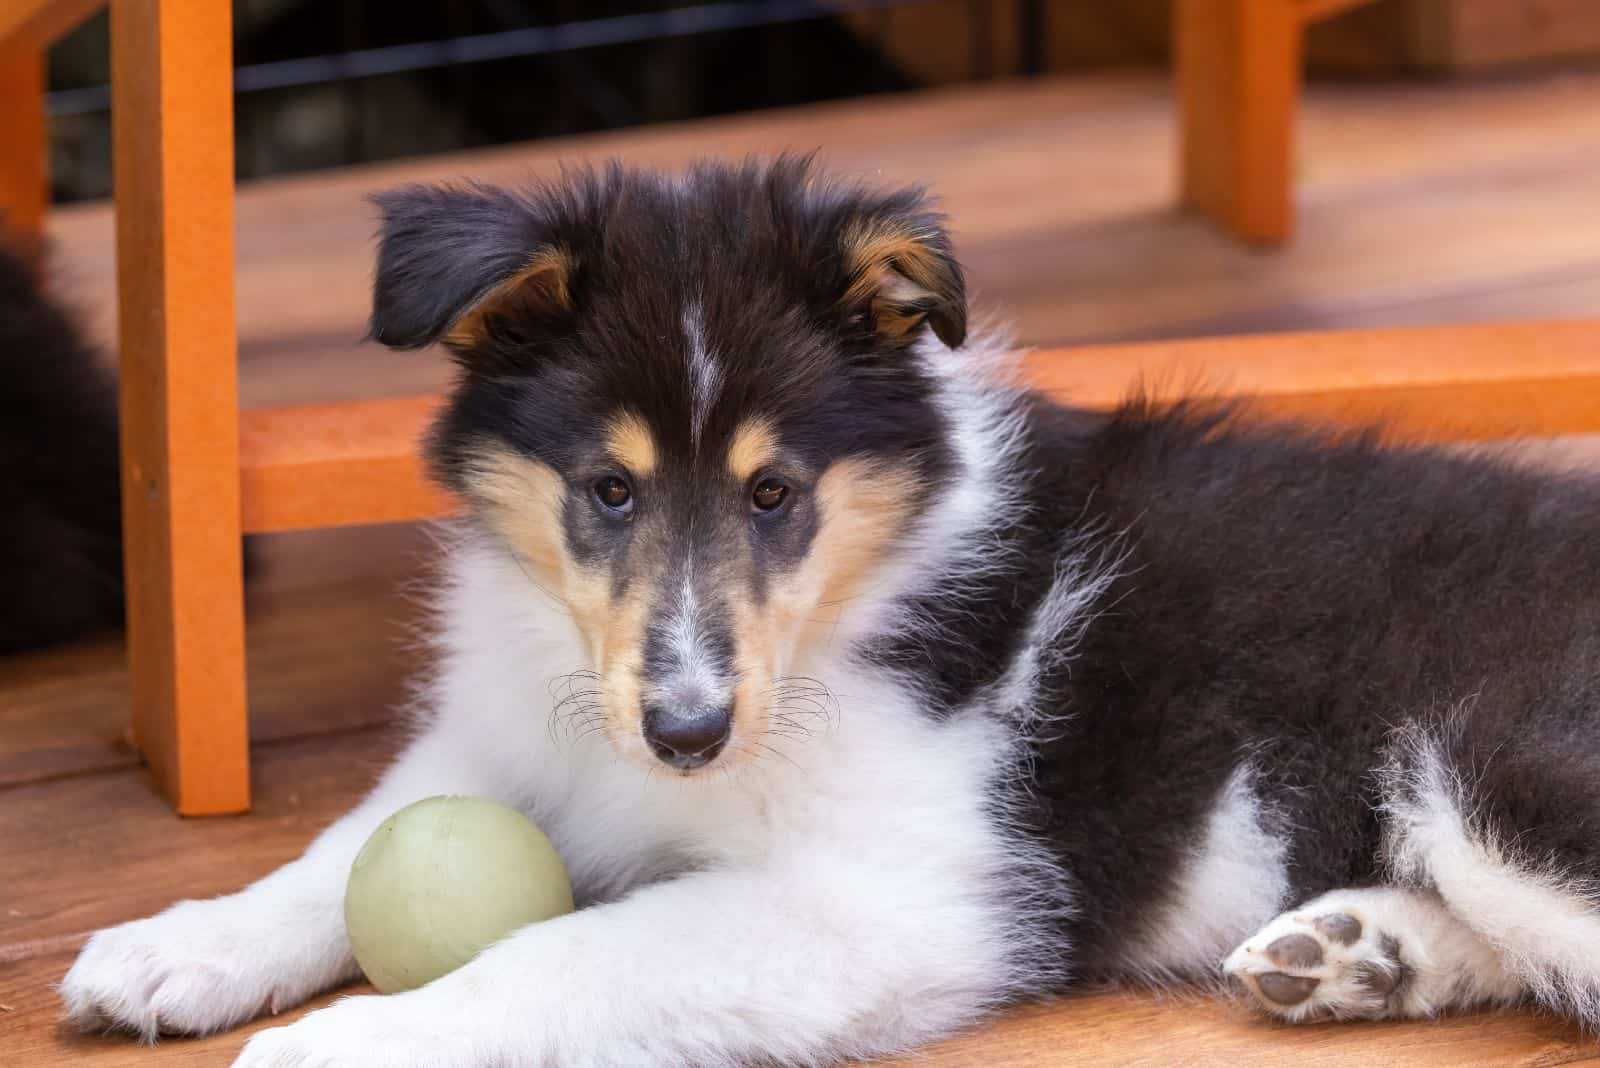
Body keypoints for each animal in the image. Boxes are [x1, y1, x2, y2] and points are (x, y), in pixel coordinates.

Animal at [62, 160, 1600, 1068]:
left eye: (774, 492)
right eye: (608, 489)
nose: (686, 733)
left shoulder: (897, 903)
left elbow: (574, 950)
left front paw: (355, 1042)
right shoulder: (499, 740)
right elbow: (337, 854)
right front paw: (175, 945)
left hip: (1491, 752)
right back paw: (1354, 955)